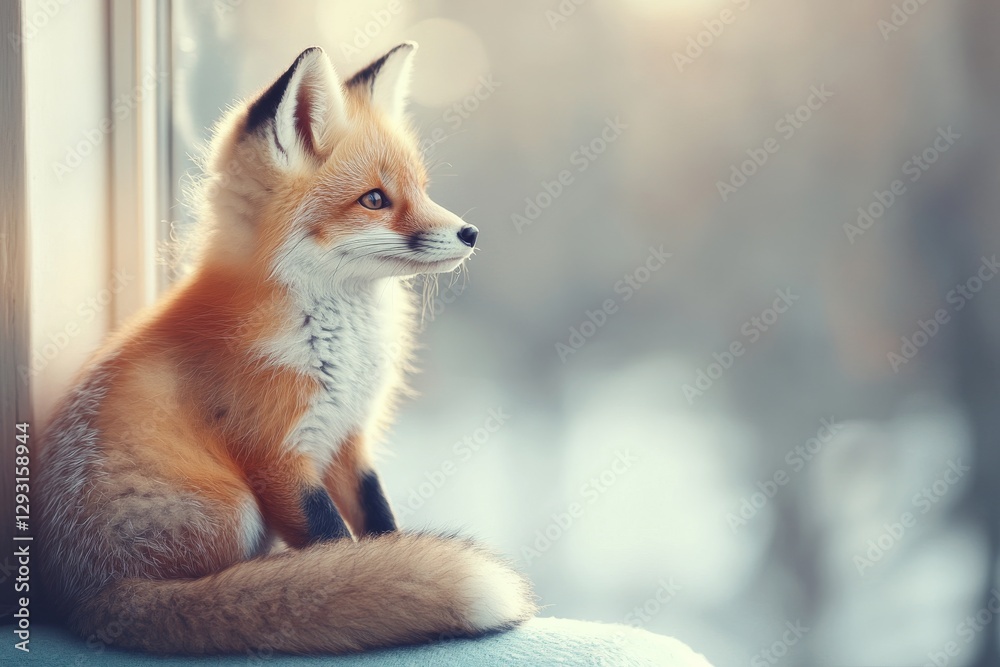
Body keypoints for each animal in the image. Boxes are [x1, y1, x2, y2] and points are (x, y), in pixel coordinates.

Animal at [35, 44, 536, 654]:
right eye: (374, 199)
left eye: (421, 188)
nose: (470, 233)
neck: (337, 343)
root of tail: (87, 597)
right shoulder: (275, 453)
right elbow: (332, 543)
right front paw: (347, 580)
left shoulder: (346, 437)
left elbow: (379, 526)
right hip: (236, 509)